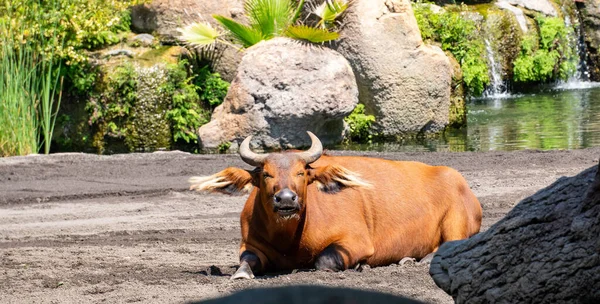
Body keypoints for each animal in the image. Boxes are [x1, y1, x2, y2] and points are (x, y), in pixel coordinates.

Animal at [190, 132, 480, 280]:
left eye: (301, 173)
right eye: (266, 174)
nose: (286, 199)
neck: (289, 240)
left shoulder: (356, 242)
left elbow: (324, 260)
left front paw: (361, 266)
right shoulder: (249, 244)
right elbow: (247, 259)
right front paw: (241, 273)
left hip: (457, 221)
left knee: (452, 243)